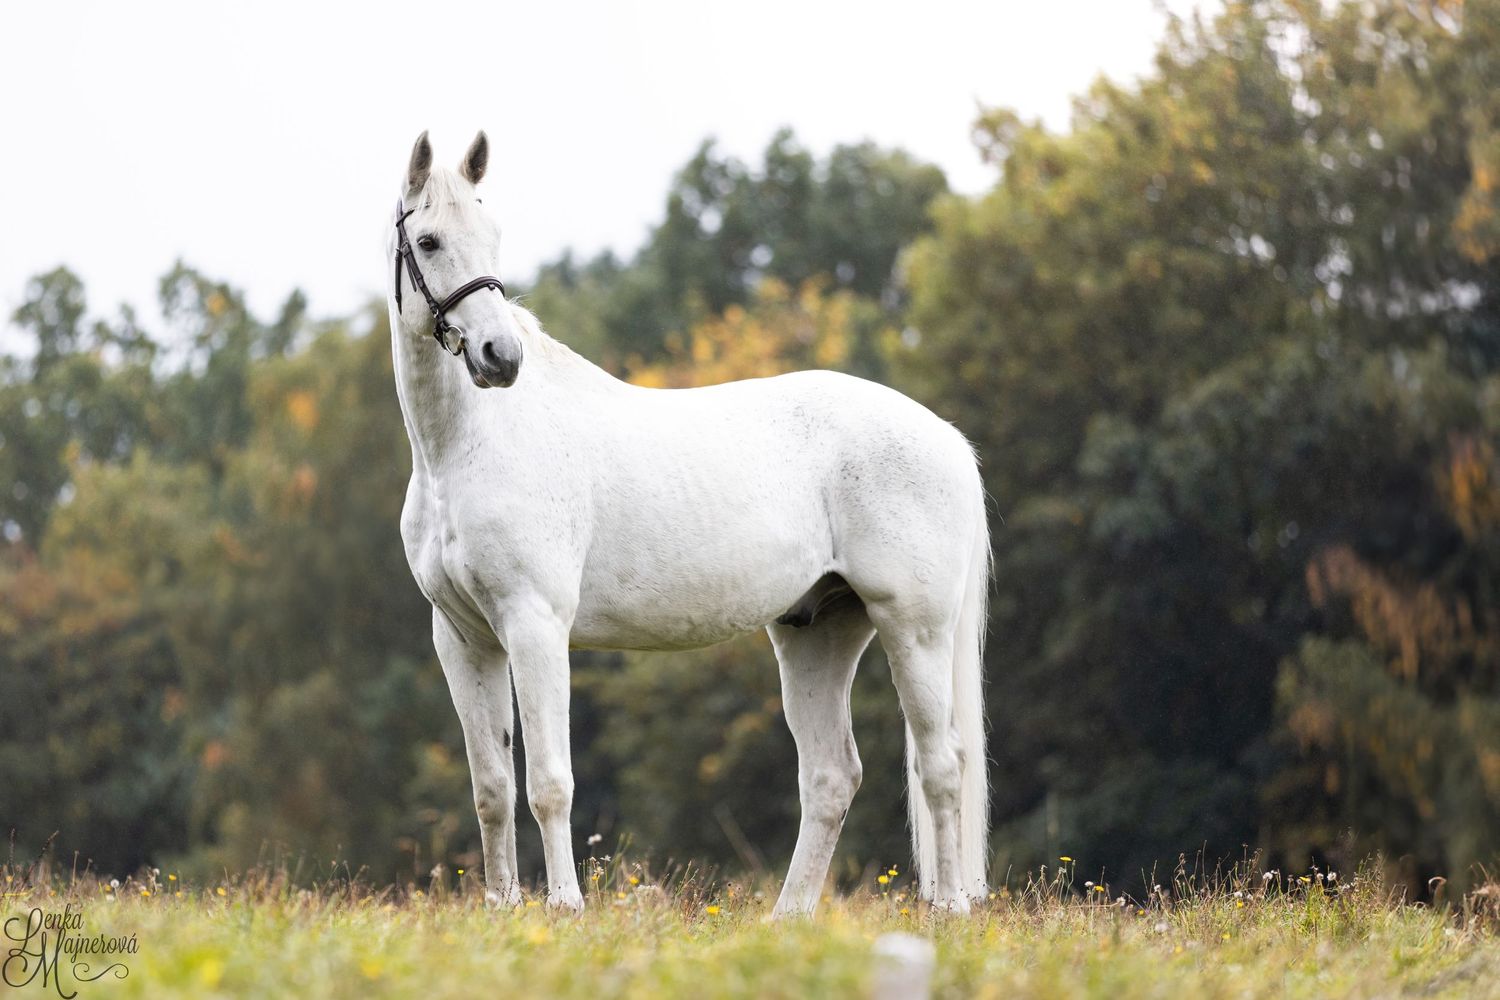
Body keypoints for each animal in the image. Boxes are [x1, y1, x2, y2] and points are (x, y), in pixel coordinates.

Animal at [386, 130, 990, 915]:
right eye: (428, 240)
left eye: (492, 234)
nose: (500, 357)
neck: (469, 447)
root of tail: (946, 439)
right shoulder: (463, 639)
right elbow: (491, 788)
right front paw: (502, 911)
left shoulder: (534, 623)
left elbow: (549, 781)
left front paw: (564, 909)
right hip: (819, 632)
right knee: (832, 777)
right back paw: (788, 918)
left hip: (914, 627)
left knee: (941, 764)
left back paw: (947, 910)